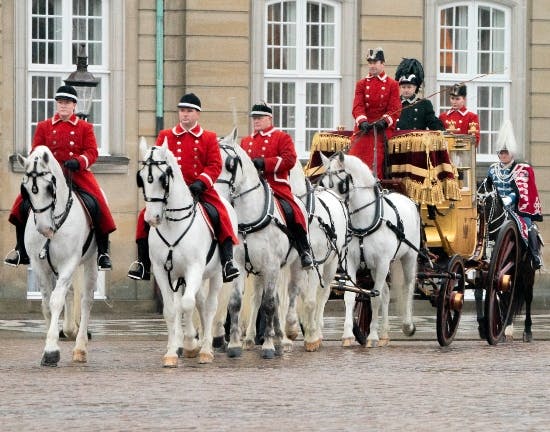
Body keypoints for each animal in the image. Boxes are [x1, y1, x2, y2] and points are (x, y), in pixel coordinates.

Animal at [17, 147, 97, 366]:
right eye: (25, 189)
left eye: (49, 187)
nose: (45, 229)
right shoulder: (40, 266)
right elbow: (46, 304)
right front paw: (50, 343)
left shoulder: (69, 262)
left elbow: (55, 301)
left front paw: (51, 349)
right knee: (69, 293)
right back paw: (69, 330)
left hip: (90, 261)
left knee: (86, 300)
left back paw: (80, 347)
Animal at [137, 137, 237, 366]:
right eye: (141, 178)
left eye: (162, 178)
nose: (152, 218)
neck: (173, 223)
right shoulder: (163, 271)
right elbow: (172, 309)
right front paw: (173, 351)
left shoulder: (194, 268)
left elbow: (187, 304)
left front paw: (192, 343)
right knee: (196, 302)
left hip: (215, 274)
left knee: (208, 306)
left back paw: (206, 348)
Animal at [216, 127, 306, 358]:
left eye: (230, 164)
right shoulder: (240, 265)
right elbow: (236, 302)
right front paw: (235, 345)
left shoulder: (272, 265)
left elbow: (269, 305)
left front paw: (268, 346)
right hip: (258, 270)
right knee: (263, 297)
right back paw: (265, 337)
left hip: (293, 266)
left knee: (289, 295)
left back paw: (286, 334)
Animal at [320, 153, 418, 348]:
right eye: (324, 183)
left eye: (339, 183)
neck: (363, 222)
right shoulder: (350, 262)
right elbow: (350, 296)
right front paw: (348, 335)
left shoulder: (382, 262)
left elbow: (375, 298)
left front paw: (372, 336)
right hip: (375, 267)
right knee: (386, 293)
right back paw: (385, 334)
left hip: (409, 257)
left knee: (408, 287)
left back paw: (407, 325)